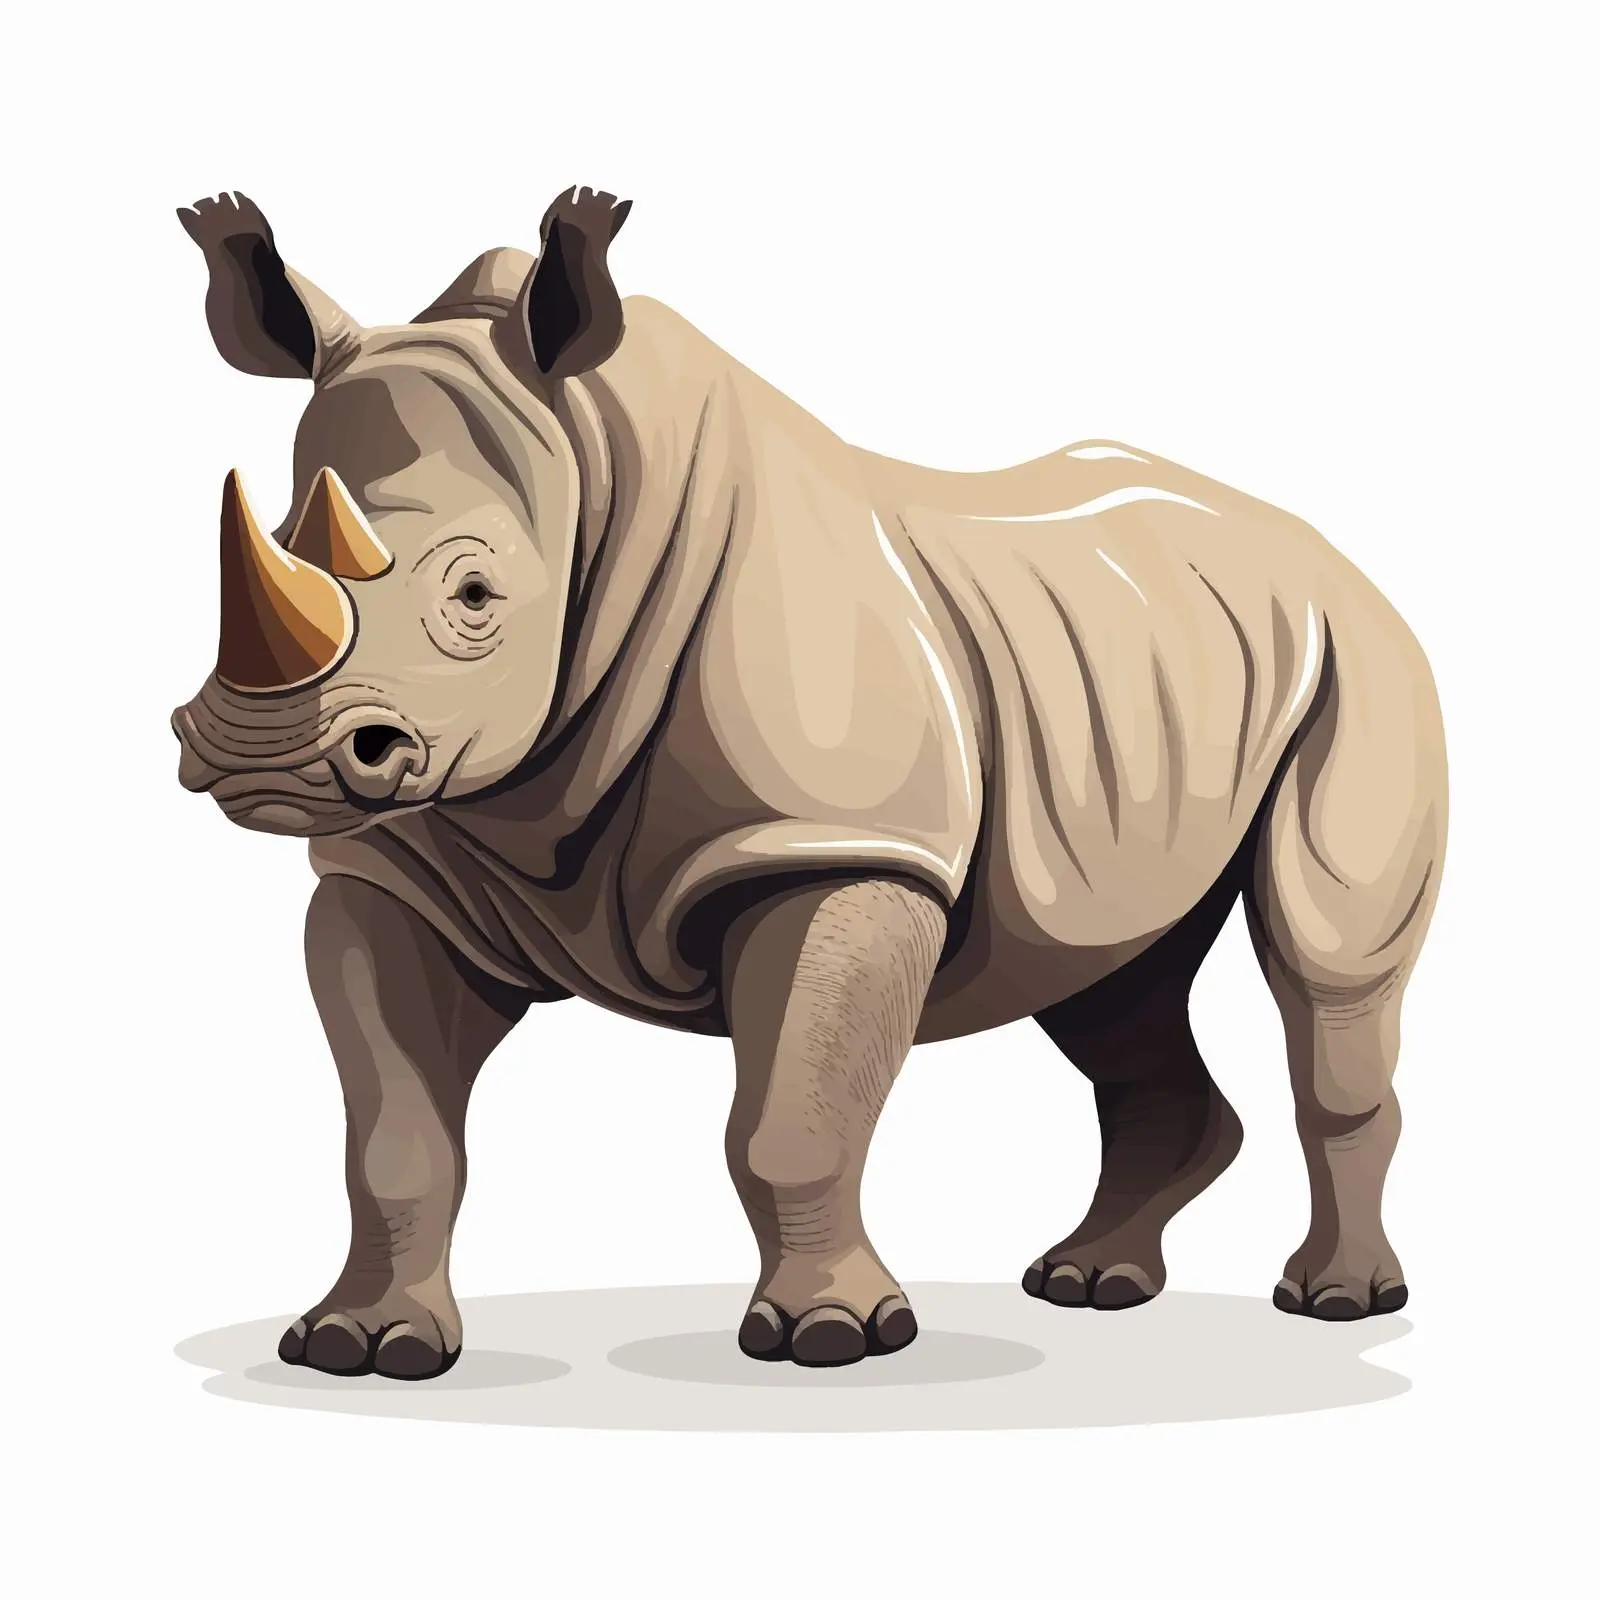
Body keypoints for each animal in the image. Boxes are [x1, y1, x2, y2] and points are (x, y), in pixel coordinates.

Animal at [172, 186, 1447, 1377]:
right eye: (274, 534)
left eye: (475, 595)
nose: (260, 754)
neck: (594, 482)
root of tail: (1323, 549)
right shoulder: (394, 873)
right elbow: (394, 1136)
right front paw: (361, 1343)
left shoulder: (833, 846)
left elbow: (789, 1116)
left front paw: (832, 1337)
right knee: (1111, 978)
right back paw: (1090, 1285)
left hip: (1360, 651)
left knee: (1324, 968)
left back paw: (1336, 1300)